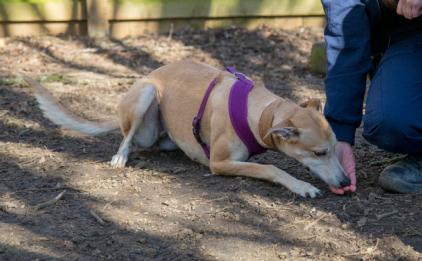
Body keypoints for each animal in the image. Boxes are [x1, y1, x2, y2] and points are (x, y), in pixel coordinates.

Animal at [20, 59, 350, 197]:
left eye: (335, 148)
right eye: (319, 153)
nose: (346, 180)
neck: (259, 113)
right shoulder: (220, 163)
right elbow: (272, 168)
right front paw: (303, 187)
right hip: (145, 95)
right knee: (128, 138)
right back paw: (120, 156)